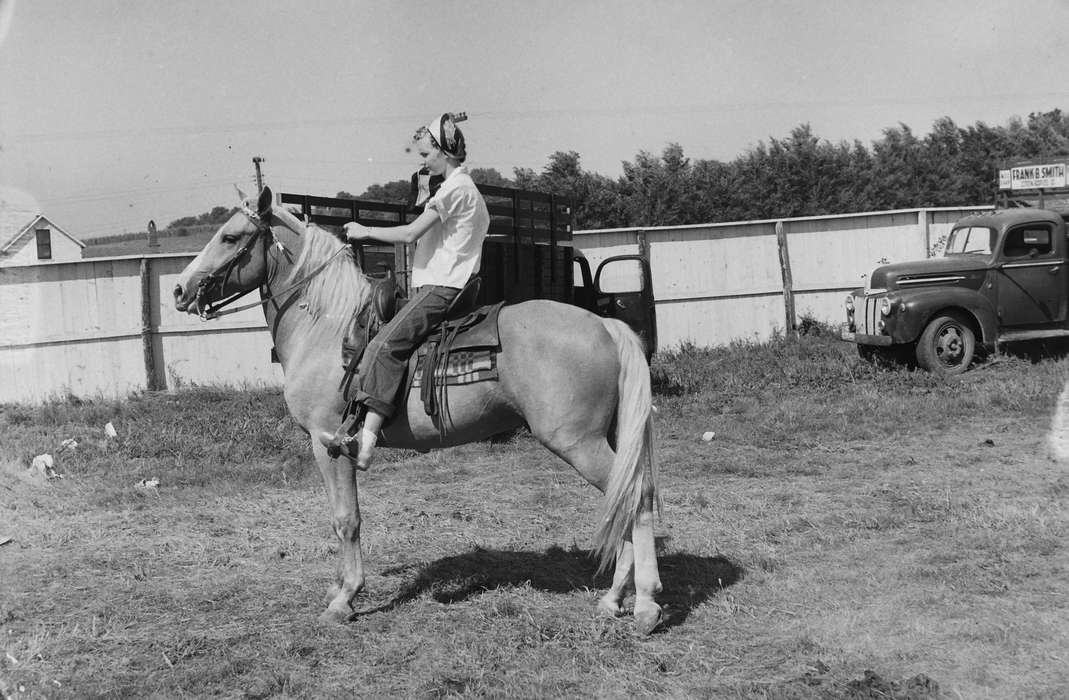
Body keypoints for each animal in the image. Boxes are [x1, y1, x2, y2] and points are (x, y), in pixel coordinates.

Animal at [172, 186, 663, 634]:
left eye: (231, 237)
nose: (180, 290)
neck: (327, 328)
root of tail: (604, 323)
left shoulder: (327, 443)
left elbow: (346, 519)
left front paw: (345, 599)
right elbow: (340, 520)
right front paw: (339, 590)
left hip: (577, 442)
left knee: (635, 496)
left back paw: (645, 606)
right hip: (604, 438)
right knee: (624, 497)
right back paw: (613, 599)